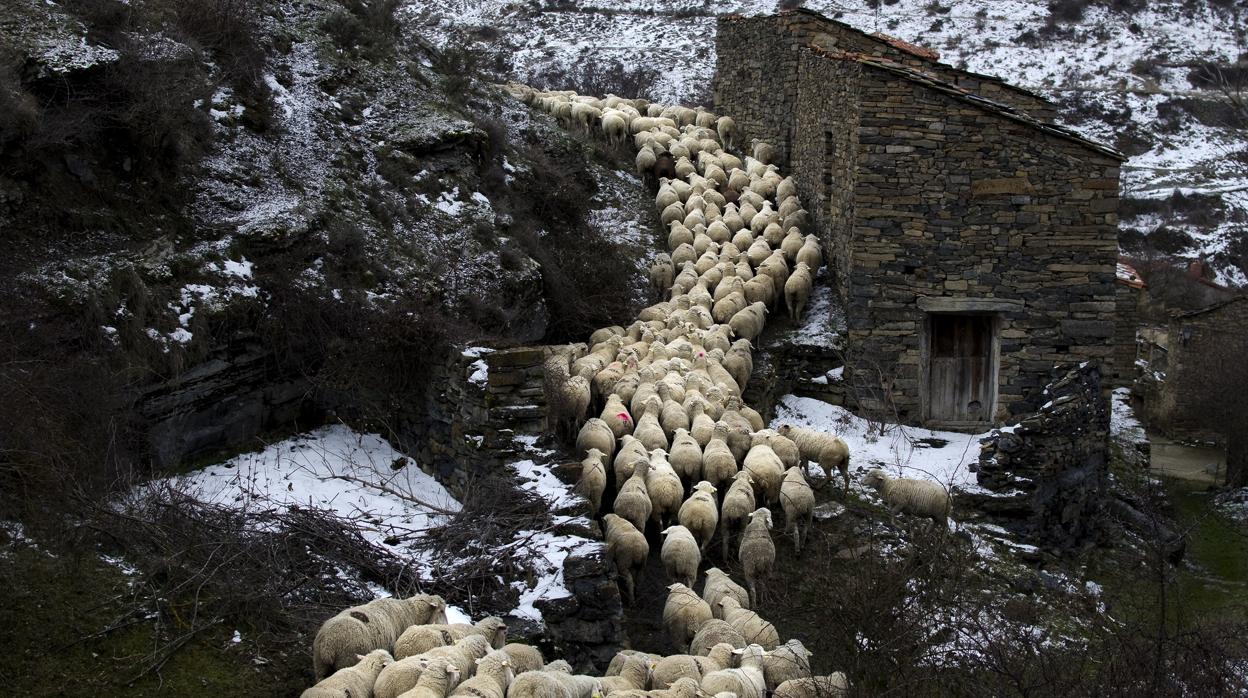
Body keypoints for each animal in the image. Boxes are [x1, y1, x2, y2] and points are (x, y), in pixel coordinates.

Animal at [312, 594, 449, 679]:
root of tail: (327, 644)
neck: (412, 612)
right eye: (441, 610)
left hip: (320, 666)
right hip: (346, 659)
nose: (447, 625)